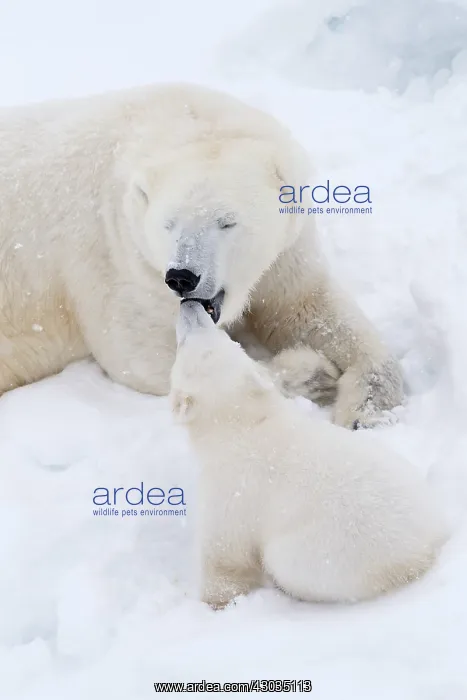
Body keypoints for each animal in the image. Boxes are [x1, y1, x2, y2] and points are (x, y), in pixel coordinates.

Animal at [0, 82, 402, 428]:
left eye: (227, 222)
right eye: (168, 224)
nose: (182, 277)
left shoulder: (287, 245)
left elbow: (306, 305)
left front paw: (367, 409)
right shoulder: (118, 256)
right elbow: (145, 354)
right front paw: (315, 372)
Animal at [170, 300, 446, 607]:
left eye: (190, 343)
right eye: (229, 342)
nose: (190, 304)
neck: (243, 425)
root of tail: (426, 549)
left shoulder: (232, 491)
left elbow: (226, 555)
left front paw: (214, 602)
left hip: (323, 553)